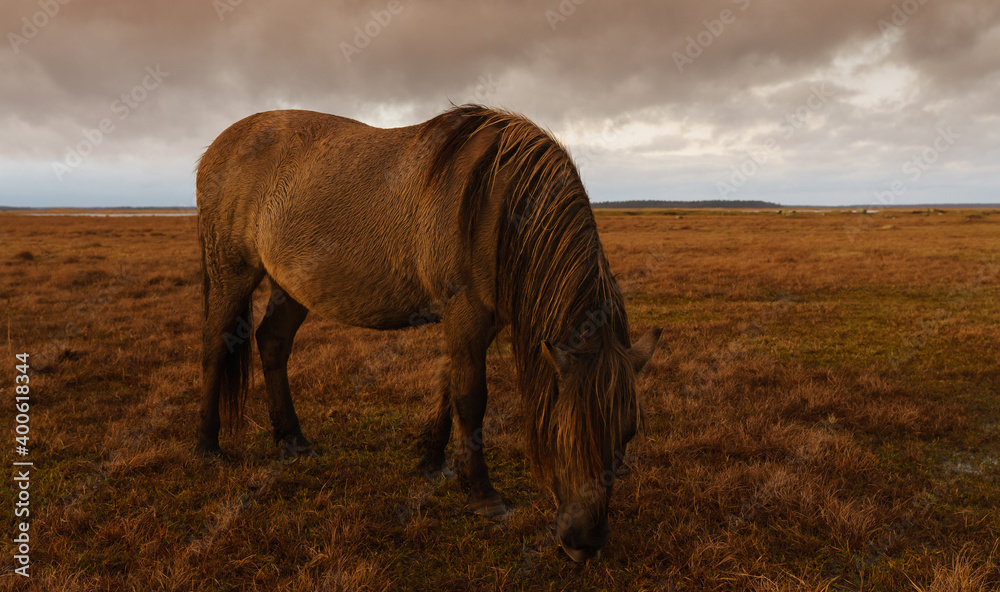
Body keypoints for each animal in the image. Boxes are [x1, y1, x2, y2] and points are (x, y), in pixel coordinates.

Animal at [195, 104, 661, 562]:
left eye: (628, 432)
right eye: (564, 430)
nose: (587, 543)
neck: (501, 204)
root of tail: (219, 146)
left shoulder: (474, 321)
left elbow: (449, 387)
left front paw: (432, 462)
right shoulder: (465, 314)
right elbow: (471, 398)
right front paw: (483, 495)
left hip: (291, 285)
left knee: (273, 343)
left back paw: (293, 441)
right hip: (233, 273)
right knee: (217, 347)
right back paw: (207, 446)